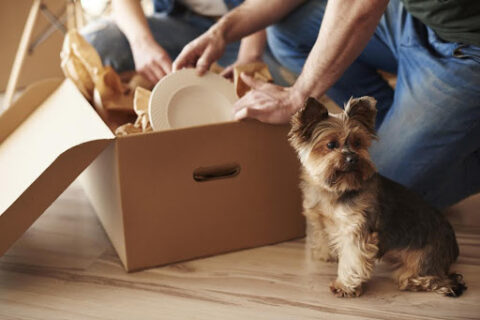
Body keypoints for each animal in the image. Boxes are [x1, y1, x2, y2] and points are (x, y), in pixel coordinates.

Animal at [288, 97, 464, 298]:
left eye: (358, 143)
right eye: (331, 145)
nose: (352, 159)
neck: (337, 189)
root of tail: (453, 244)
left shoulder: (356, 229)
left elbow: (352, 259)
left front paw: (345, 286)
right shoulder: (321, 219)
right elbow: (323, 235)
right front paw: (326, 254)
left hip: (424, 257)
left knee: (434, 279)